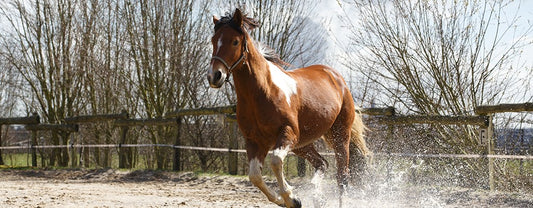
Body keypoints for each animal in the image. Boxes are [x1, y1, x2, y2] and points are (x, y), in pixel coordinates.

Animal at [208, 8, 370, 208]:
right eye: (213, 40)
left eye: (235, 41)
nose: (214, 76)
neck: (262, 92)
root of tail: (337, 78)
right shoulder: (255, 141)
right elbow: (254, 176)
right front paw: (289, 200)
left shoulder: (287, 133)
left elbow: (276, 161)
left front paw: (291, 197)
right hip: (302, 144)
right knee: (322, 163)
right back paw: (318, 197)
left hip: (339, 135)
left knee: (342, 177)